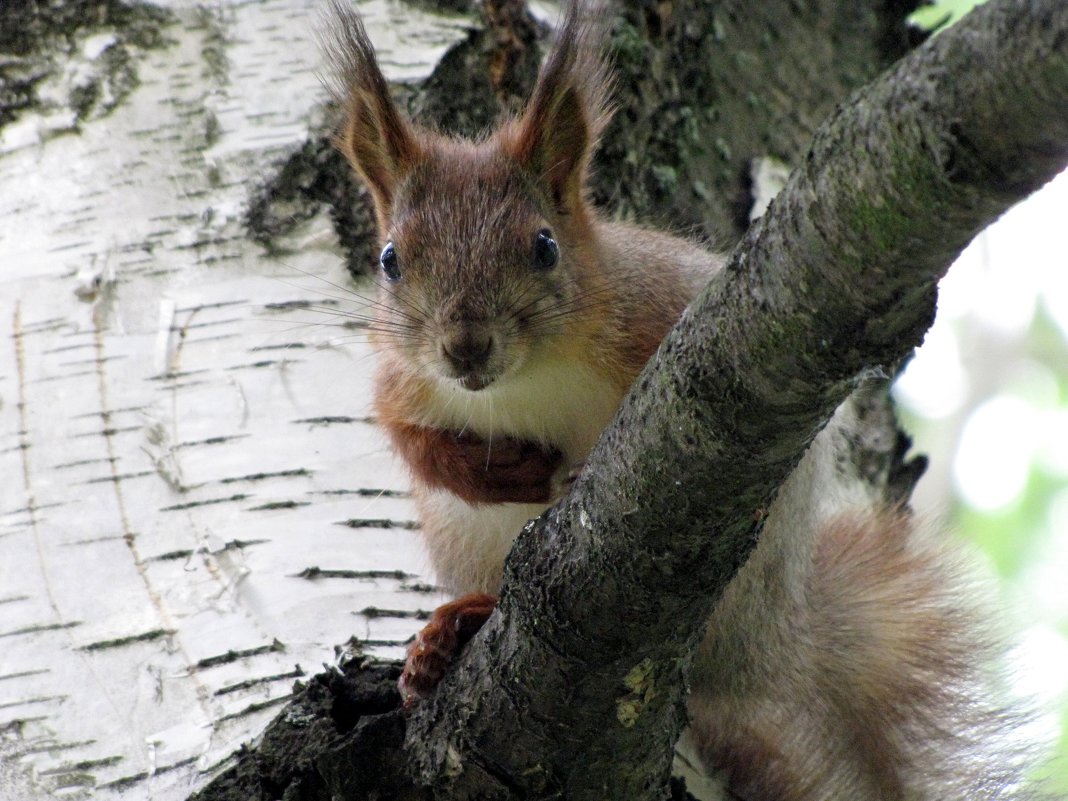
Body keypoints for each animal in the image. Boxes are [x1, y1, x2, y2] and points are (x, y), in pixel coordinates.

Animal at [320, 3, 1038, 798]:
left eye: (544, 246)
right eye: (390, 260)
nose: (466, 347)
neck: (523, 379)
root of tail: (765, 651)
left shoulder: (662, 307)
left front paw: (566, 472)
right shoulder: (401, 377)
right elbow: (407, 436)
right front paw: (496, 469)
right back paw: (452, 632)